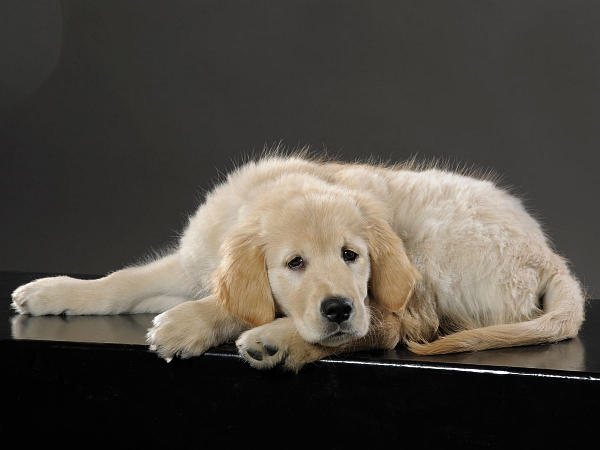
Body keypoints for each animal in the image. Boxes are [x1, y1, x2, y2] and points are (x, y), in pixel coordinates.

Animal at [11, 153, 584, 370]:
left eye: (352, 256)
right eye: (294, 264)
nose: (338, 309)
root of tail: (551, 256)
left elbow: (231, 305)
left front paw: (186, 324)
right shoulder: (193, 261)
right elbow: (121, 280)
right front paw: (52, 291)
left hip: (430, 247)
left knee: (390, 327)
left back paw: (277, 342)